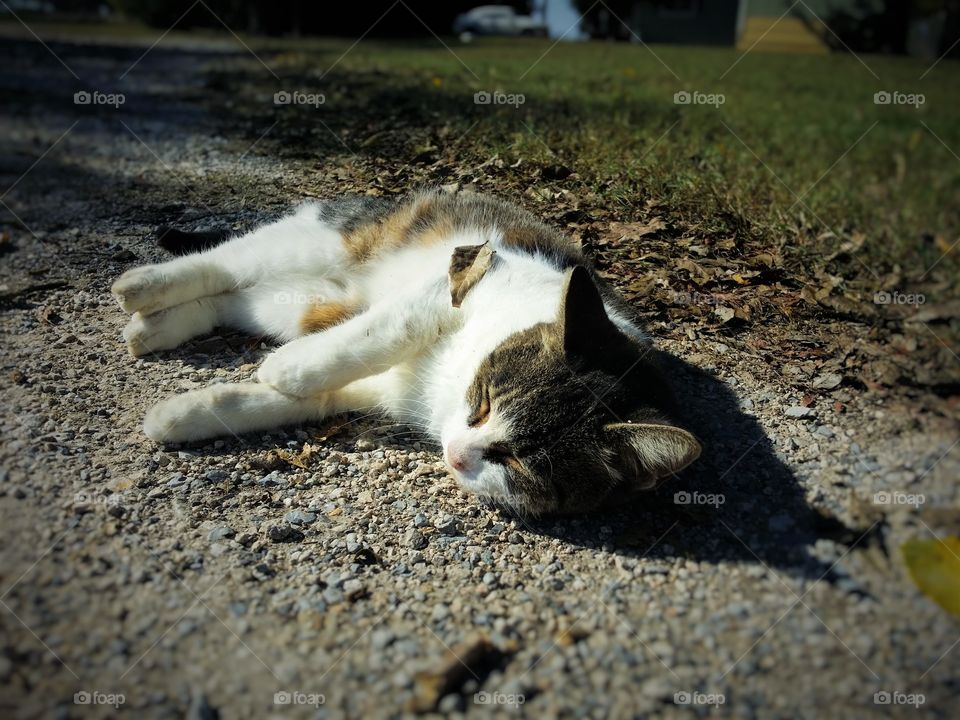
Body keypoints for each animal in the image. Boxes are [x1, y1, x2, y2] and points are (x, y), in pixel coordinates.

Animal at [112, 188, 700, 516]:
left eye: (520, 463)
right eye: (485, 401)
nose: (457, 452)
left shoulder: (382, 390)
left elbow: (301, 399)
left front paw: (190, 414)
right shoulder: (468, 275)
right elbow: (384, 332)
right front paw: (290, 367)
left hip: (306, 302)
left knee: (234, 298)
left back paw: (157, 328)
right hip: (326, 243)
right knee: (223, 263)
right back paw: (143, 286)